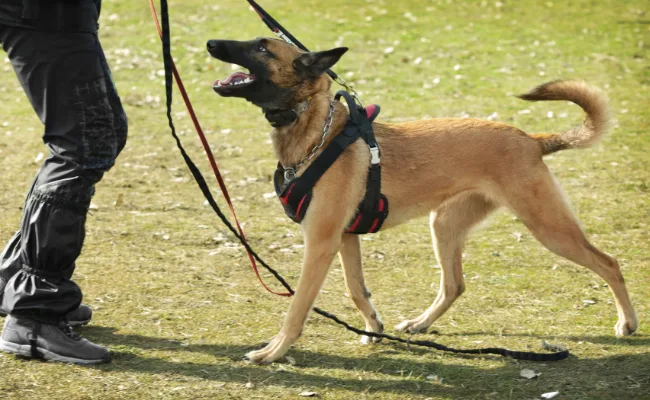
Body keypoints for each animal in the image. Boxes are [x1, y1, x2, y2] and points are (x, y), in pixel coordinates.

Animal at [208, 36, 636, 362]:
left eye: (261, 47)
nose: (213, 43)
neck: (317, 132)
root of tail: (531, 140)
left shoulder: (321, 241)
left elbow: (298, 306)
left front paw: (273, 351)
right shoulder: (344, 238)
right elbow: (356, 289)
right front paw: (374, 329)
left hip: (548, 226)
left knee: (610, 263)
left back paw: (627, 322)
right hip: (444, 225)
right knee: (454, 285)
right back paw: (420, 323)